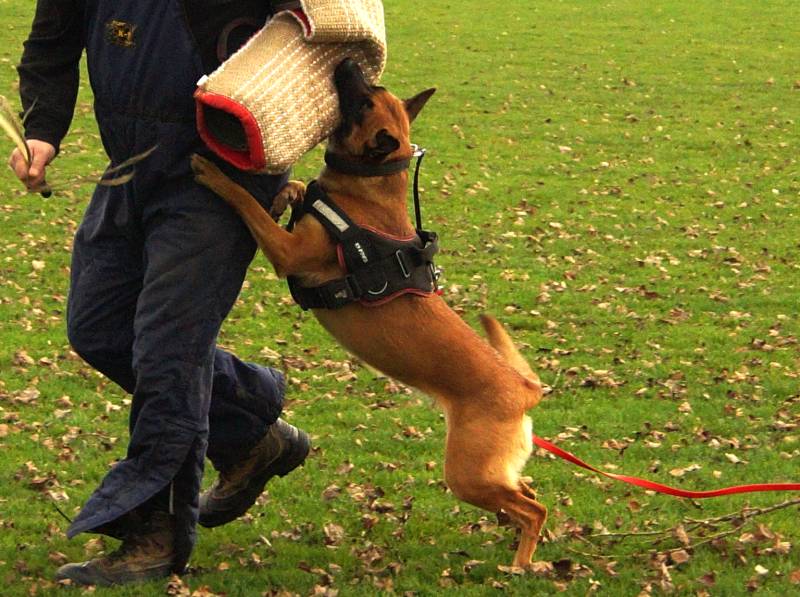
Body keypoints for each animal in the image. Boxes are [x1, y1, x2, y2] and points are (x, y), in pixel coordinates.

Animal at [191, 58, 547, 568]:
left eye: (361, 102)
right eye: (370, 89)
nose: (346, 64)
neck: (365, 193)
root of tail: (522, 390)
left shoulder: (289, 253)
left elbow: (246, 203)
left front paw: (214, 174)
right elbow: (289, 194)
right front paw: (288, 192)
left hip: (466, 473)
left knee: (534, 508)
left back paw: (519, 563)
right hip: (489, 473)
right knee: (526, 492)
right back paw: (511, 536)